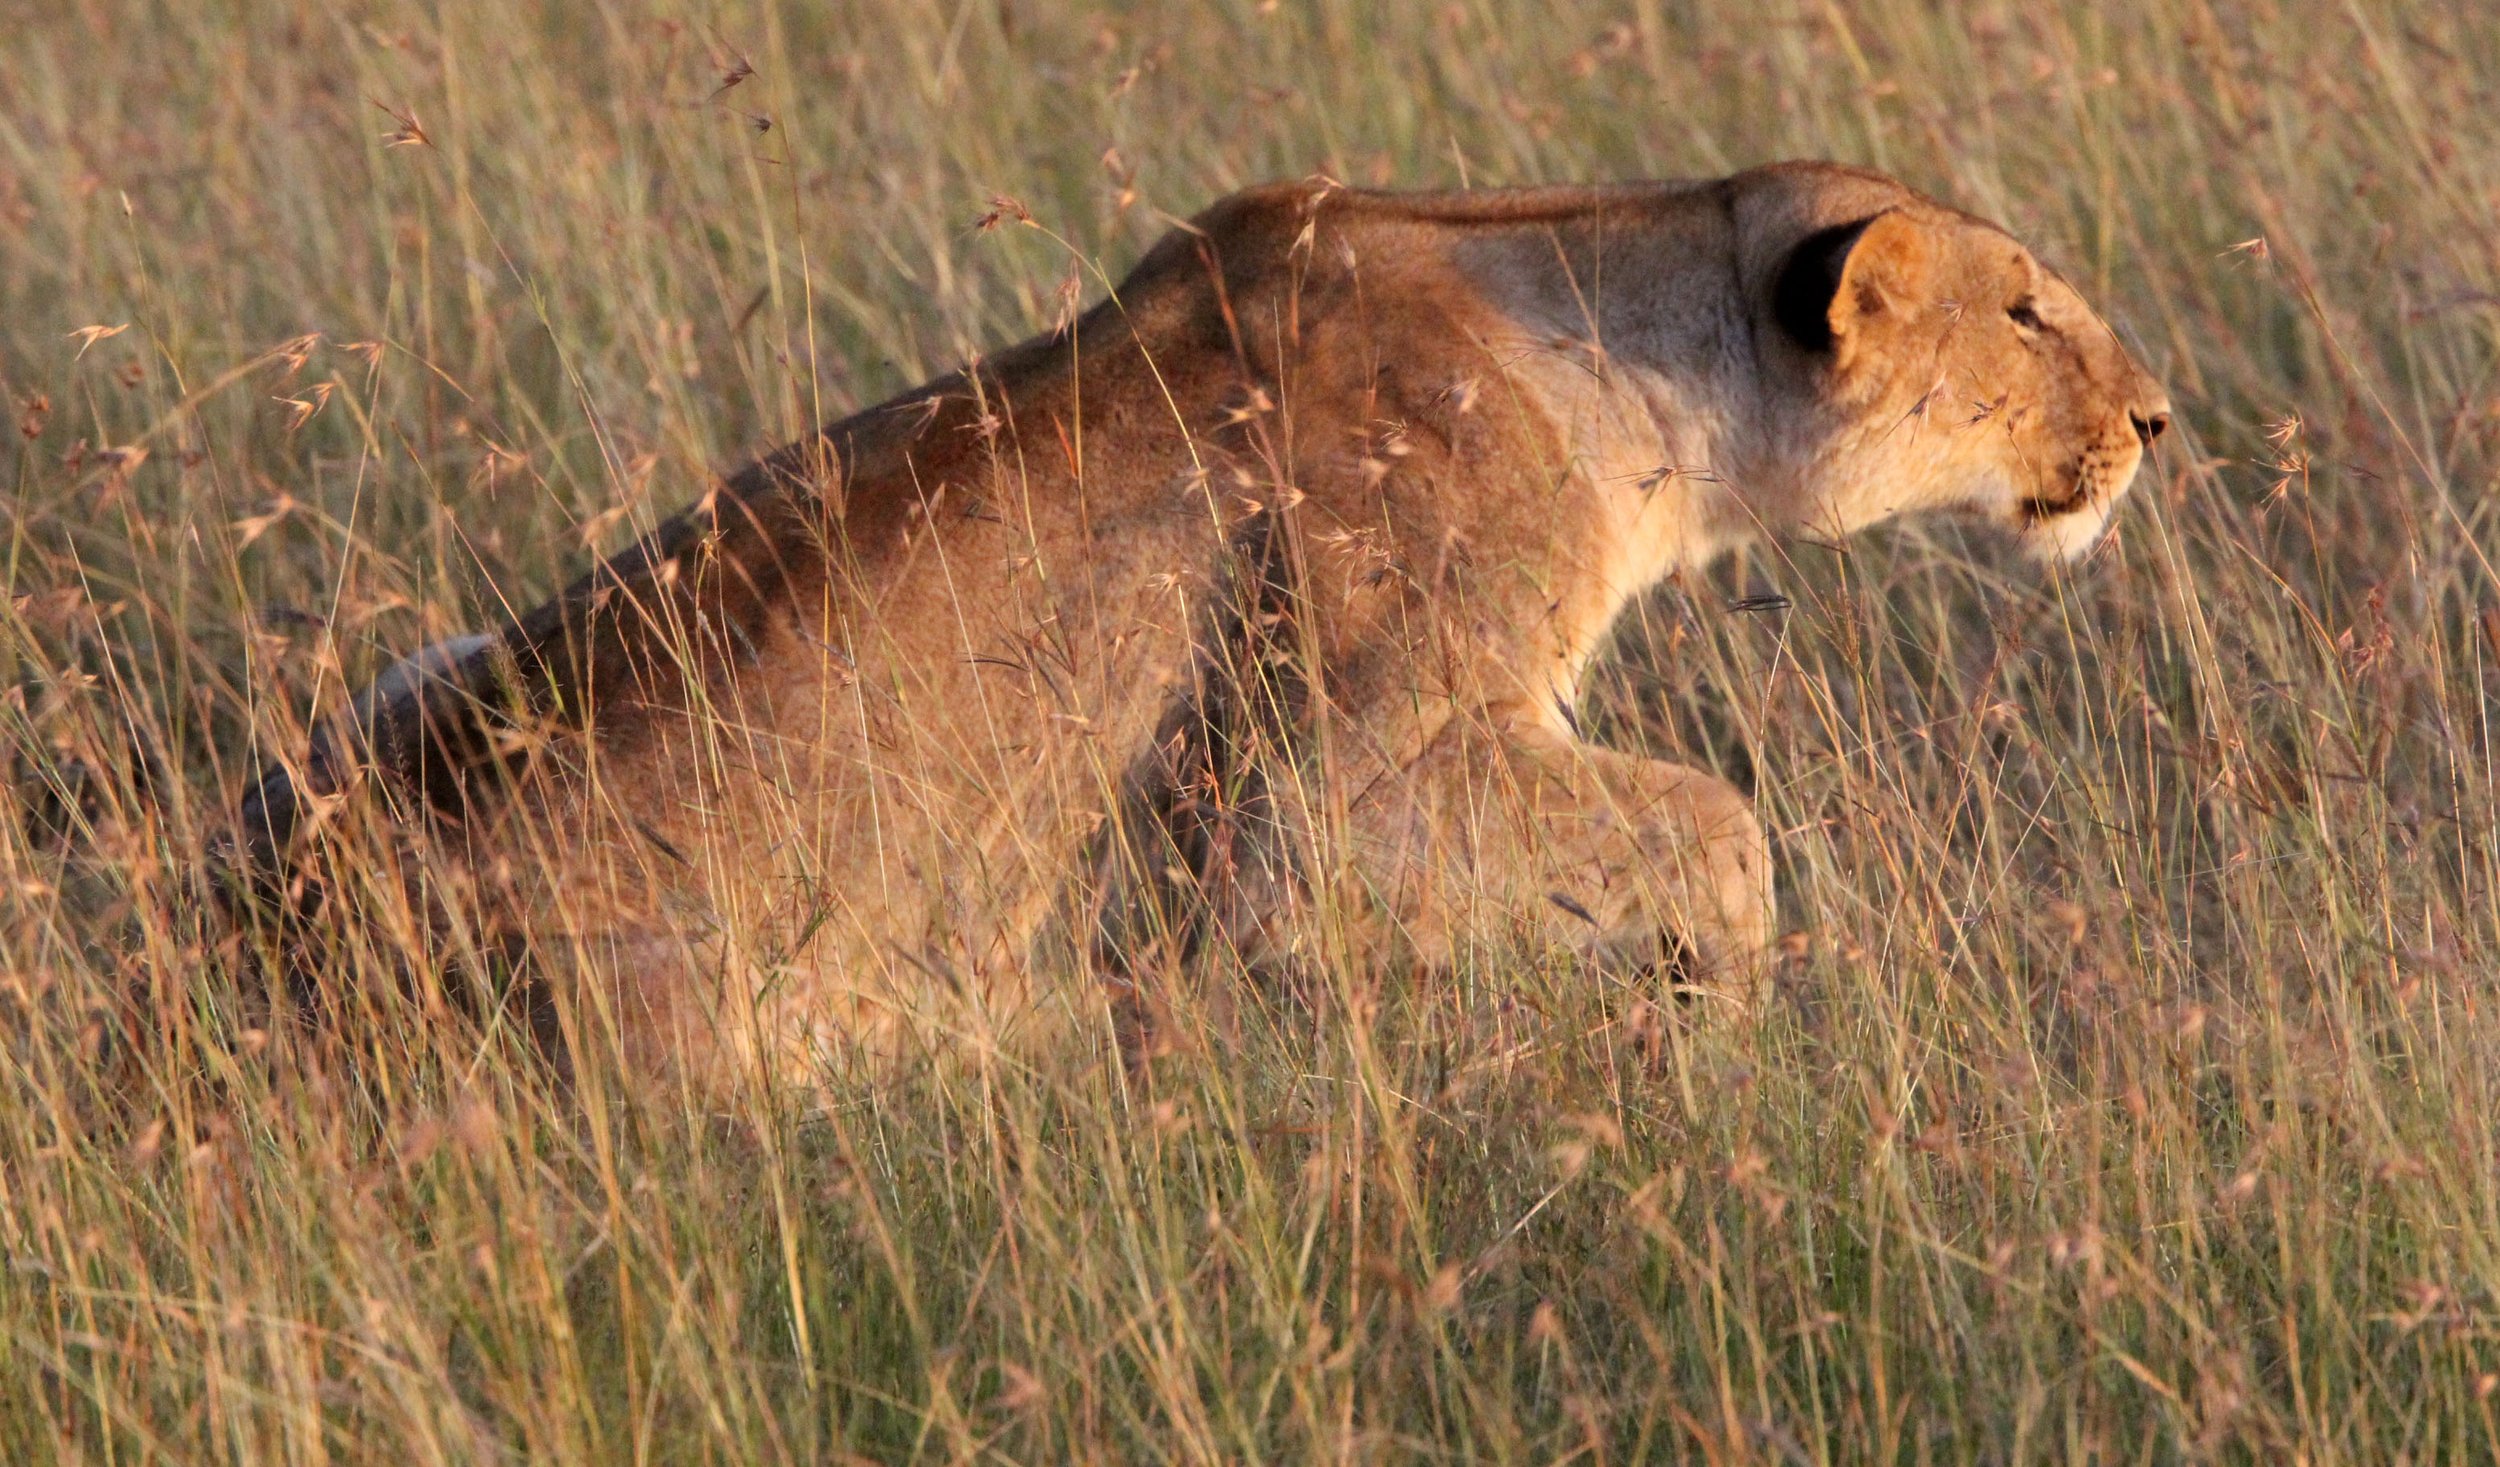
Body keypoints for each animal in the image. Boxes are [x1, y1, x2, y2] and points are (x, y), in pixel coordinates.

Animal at [234, 162, 2169, 1090]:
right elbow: (1719, 826)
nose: (2159, 418)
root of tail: (247, 954)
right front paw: (1721, 1009)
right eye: (2024, 311)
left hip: (376, 693)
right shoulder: (1313, 789)